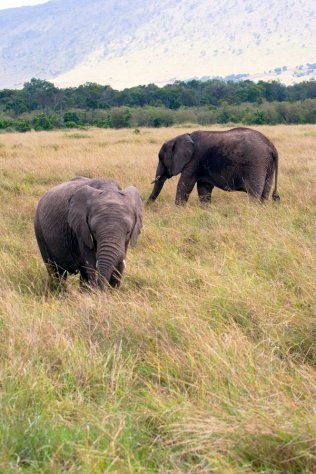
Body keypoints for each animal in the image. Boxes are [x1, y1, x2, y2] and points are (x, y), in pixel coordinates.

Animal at [147, 127, 280, 205]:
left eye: (161, 159)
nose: (148, 207)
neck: (182, 137)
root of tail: (272, 147)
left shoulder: (193, 161)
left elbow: (185, 185)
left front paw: (178, 210)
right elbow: (204, 188)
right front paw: (206, 210)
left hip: (256, 163)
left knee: (254, 192)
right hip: (267, 164)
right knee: (265, 192)